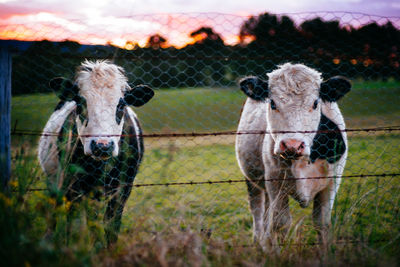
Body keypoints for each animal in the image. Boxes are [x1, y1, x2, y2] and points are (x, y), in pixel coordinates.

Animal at [37, 59, 154, 246]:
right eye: (80, 103)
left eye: (121, 105)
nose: (102, 145)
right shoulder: (72, 187)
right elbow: (73, 224)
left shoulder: (123, 189)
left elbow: (111, 226)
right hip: (54, 180)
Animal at [236, 62, 352, 249]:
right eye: (272, 103)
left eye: (315, 103)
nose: (292, 145)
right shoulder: (276, 183)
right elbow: (281, 224)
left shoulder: (332, 182)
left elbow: (322, 223)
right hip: (253, 181)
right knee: (258, 214)